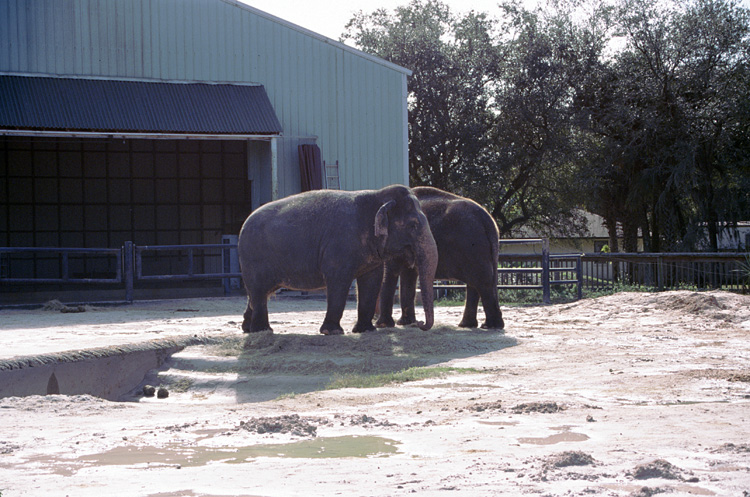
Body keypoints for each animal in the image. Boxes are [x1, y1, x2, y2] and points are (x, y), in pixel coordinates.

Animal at [238, 184, 440, 336]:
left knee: (259, 293)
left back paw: (248, 329)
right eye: (413, 225)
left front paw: (366, 330)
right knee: (258, 291)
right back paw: (263, 331)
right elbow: (338, 281)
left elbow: (372, 281)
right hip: (252, 258)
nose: (419, 324)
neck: (376, 196)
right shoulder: (339, 246)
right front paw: (333, 332)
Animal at [376, 186, 506, 330]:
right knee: (476, 281)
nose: (420, 323)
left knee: (482, 281)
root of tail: (488, 219)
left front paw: (384, 325)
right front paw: (405, 322)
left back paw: (489, 326)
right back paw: (469, 325)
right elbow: (408, 274)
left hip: (473, 245)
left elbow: (393, 271)